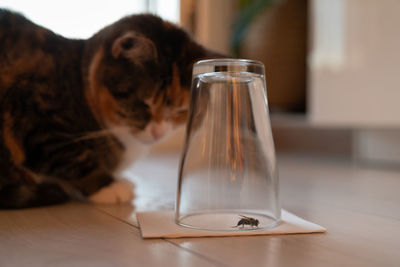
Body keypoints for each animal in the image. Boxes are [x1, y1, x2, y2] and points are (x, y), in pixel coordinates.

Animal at [0, 8, 222, 209]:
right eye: (144, 103)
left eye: (181, 111)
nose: (158, 133)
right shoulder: (34, 113)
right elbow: (71, 154)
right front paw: (109, 187)